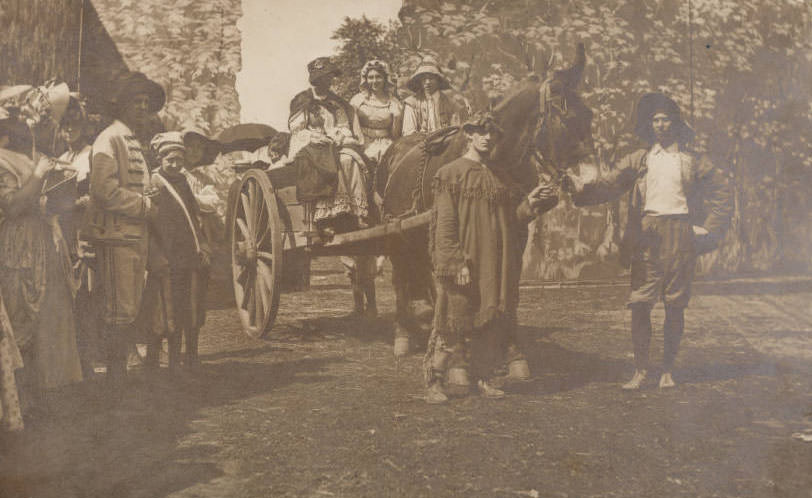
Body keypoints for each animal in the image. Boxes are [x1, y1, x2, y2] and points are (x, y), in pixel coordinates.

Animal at [378, 42, 592, 354]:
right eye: (566, 118)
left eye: (589, 116)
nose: (588, 181)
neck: (494, 159)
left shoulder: (516, 229)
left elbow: (509, 286)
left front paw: (508, 347)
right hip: (395, 234)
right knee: (401, 279)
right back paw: (403, 334)